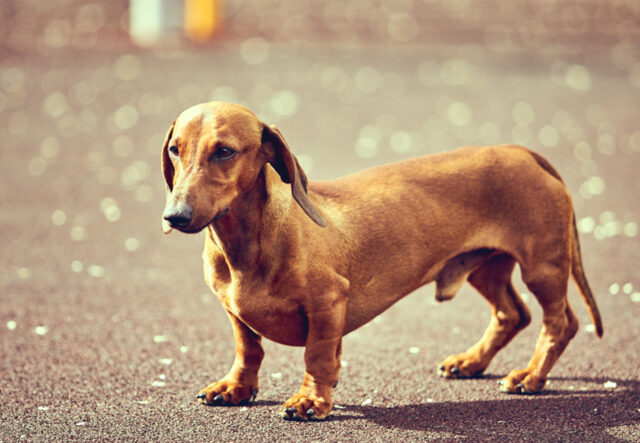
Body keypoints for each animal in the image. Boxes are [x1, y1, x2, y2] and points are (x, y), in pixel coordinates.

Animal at [162, 102, 604, 422]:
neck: (247, 243)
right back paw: (470, 362)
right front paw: (236, 388)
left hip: (542, 266)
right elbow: (247, 349)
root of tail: (522, 152)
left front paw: (311, 400)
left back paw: (531, 376)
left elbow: (317, 356)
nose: (175, 216)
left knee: (560, 322)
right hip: (485, 268)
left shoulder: (328, 303)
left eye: (224, 151)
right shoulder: (235, 312)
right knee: (511, 314)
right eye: (174, 150)